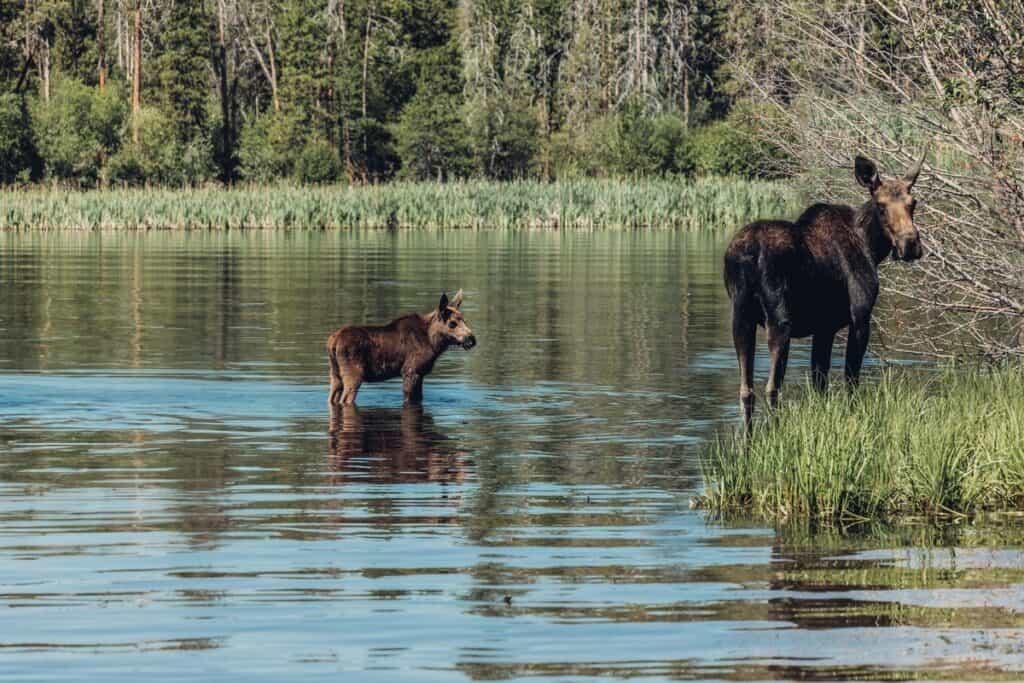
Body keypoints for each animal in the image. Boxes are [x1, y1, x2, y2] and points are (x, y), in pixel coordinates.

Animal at [326, 290, 476, 406]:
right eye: (452, 323)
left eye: (465, 320)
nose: (472, 339)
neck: (434, 343)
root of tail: (332, 342)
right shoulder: (410, 371)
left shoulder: (420, 374)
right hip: (354, 373)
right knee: (345, 399)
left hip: (335, 374)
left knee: (332, 397)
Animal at [724, 151, 927, 429]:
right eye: (882, 206)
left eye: (913, 203)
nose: (910, 245)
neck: (872, 247)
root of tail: (747, 255)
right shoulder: (860, 319)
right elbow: (850, 378)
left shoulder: (824, 328)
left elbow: (820, 382)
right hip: (779, 321)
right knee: (771, 387)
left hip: (741, 317)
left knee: (746, 390)